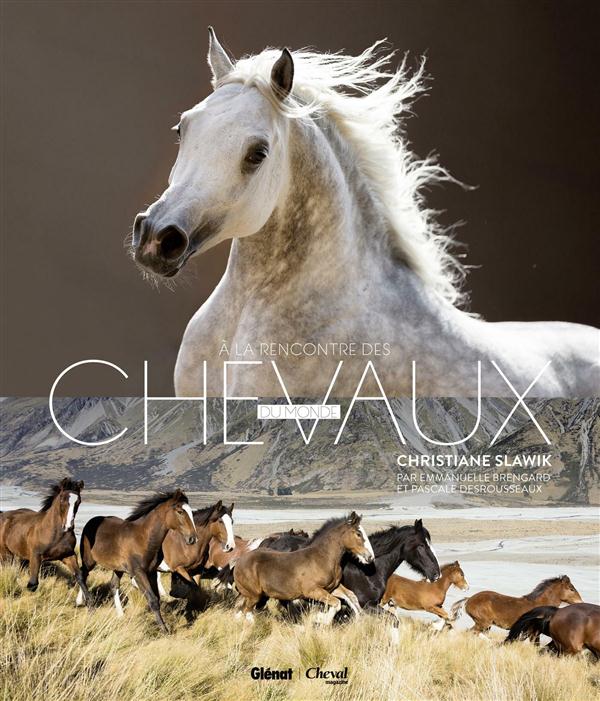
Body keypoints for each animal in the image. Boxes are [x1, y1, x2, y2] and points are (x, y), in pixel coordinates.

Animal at [79, 490, 197, 633]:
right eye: (180, 511)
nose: (192, 538)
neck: (143, 538)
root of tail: (91, 521)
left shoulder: (151, 572)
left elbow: (157, 597)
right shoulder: (138, 572)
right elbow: (152, 600)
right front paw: (164, 630)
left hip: (118, 568)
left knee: (113, 585)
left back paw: (120, 615)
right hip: (89, 560)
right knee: (81, 575)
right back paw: (89, 605)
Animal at [233, 512, 374, 624]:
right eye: (358, 534)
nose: (370, 557)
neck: (323, 558)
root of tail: (238, 563)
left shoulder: (331, 588)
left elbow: (350, 596)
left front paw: (360, 618)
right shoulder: (313, 591)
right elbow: (337, 604)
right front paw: (320, 619)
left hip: (255, 596)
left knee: (242, 611)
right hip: (254, 595)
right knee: (246, 612)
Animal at [450, 575, 583, 635]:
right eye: (571, 589)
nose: (580, 602)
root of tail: (468, 600)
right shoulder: (532, 631)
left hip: (486, 626)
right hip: (483, 623)